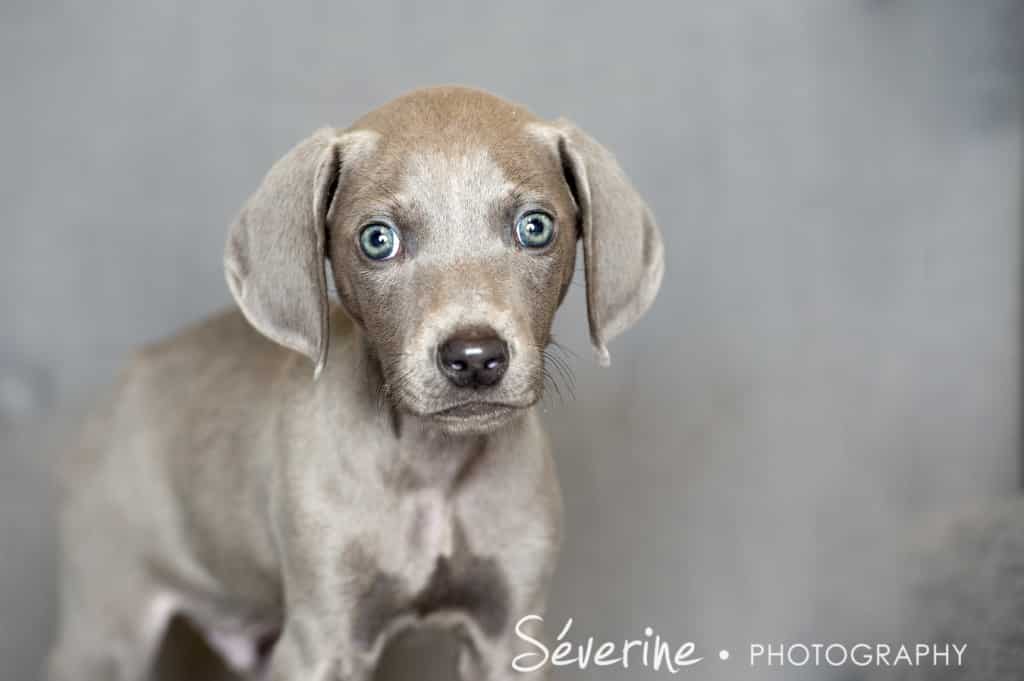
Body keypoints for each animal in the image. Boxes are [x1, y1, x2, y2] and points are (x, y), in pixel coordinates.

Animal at [49, 86, 663, 679]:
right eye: (377, 240)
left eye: (536, 227)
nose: (474, 358)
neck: (431, 473)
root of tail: (131, 373)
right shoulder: (322, 638)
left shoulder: (508, 635)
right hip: (106, 622)